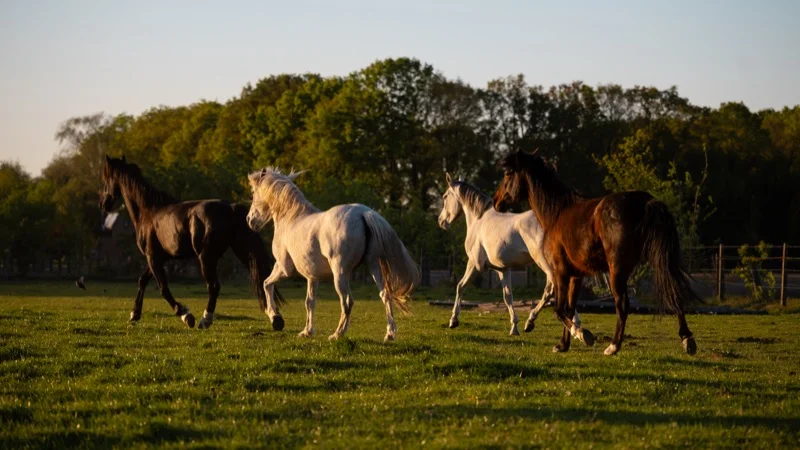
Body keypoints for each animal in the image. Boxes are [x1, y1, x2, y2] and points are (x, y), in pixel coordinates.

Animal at [99, 155, 283, 330]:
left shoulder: (153, 258)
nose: (103, 204)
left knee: (214, 286)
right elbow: (142, 281)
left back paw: (205, 320)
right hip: (241, 251)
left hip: (206, 258)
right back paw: (275, 318)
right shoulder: (159, 258)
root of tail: (230, 208)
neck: (148, 212)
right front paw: (135, 314)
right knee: (262, 279)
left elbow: (163, 288)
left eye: (106, 177)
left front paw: (185, 315)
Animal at [246, 167, 420, 342]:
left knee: (347, 301)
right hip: (374, 266)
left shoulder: (283, 267)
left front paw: (275, 318)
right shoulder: (312, 277)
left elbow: (266, 284)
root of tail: (363, 213)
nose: (250, 220)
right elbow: (309, 302)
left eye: (253, 193)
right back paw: (389, 334)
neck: (291, 218)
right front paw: (307, 331)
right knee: (385, 294)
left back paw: (337, 334)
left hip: (340, 273)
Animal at [437, 173, 580, 335]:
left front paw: (453, 320)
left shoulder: (473, 263)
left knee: (552, 289)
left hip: (544, 263)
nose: (441, 221)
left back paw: (532, 322)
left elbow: (460, 286)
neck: (479, 220)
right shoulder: (503, 269)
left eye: (445, 196)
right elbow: (508, 297)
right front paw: (514, 327)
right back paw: (577, 327)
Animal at [493, 150, 698, 356]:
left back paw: (613, 347)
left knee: (622, 305)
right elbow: (569, 310)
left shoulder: (560, 273)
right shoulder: (576, 275)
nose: (496, 201)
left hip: (617, 271)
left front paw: (583, 335)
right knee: (674, 292)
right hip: (660, 261)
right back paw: (687, 339)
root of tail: (646, 202)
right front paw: (563, 344)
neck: (558, 213)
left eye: (508, 174)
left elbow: (559, 310)